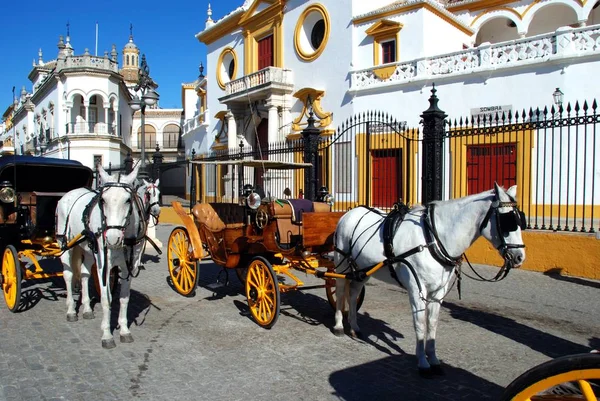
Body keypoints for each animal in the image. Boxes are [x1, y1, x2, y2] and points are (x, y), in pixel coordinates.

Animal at [55, 162, 148, 346]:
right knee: (68, 274)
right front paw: (107, 334)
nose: (112, 238)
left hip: (89, 250)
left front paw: (124, 330)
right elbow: (106, 299)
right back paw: (71, 310)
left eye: (128, 200)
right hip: (65, 244)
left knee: (84, 274)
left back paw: (86, 308)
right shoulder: (104, 265)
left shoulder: (129, 267)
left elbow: (124, 299)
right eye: (103, 200)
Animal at [332, 184, 524, 376]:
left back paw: (355, 327)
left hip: (363, 269)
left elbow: (432, 324)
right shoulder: (417, 290)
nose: (520, 256)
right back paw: (339, 326)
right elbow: (419, 324)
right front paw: (423, 363)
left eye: (519, 219)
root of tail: (349, 213)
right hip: (342, 265)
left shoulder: (438, 291)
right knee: (340, 292)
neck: (432, 239)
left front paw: (433, 359)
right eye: (507, 220)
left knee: (354, 293)